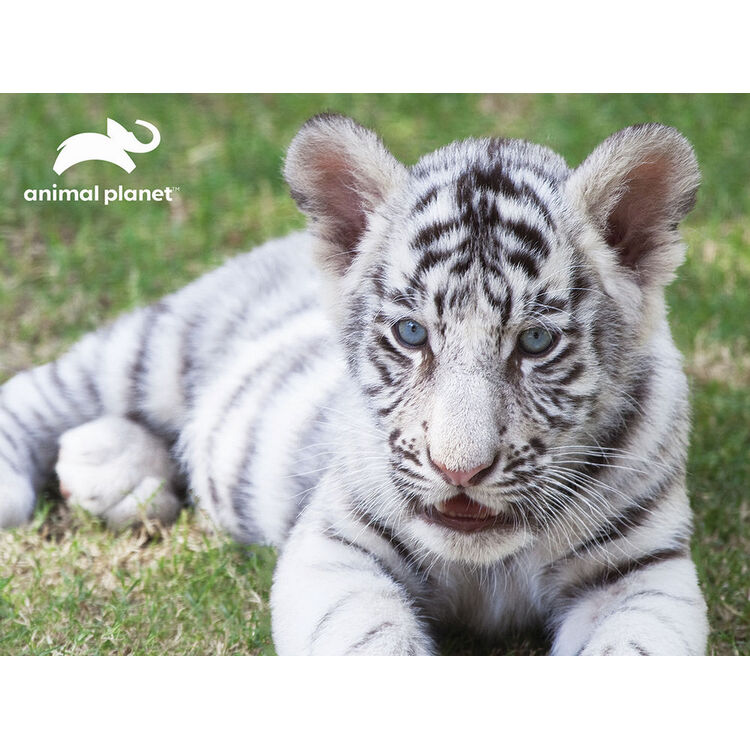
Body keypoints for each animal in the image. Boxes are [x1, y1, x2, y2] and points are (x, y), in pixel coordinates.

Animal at [0, 113, 709, 655]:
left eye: (535, 342)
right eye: (412, 333)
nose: (459, 471)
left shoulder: (639, 572)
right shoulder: (337, 543)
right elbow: (371, 643)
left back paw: (115, 473)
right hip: (162, 345)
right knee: (51, 388)